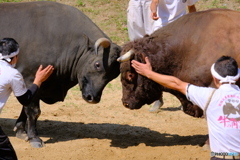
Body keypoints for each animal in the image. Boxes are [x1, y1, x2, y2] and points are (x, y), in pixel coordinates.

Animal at [0, 1, 120, 148]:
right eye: (98, 64)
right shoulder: (29, 77)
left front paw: (21, 131)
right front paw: (34, 137)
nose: (93, 98)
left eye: (114, 75)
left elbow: (25, 105)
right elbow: (33, 110)